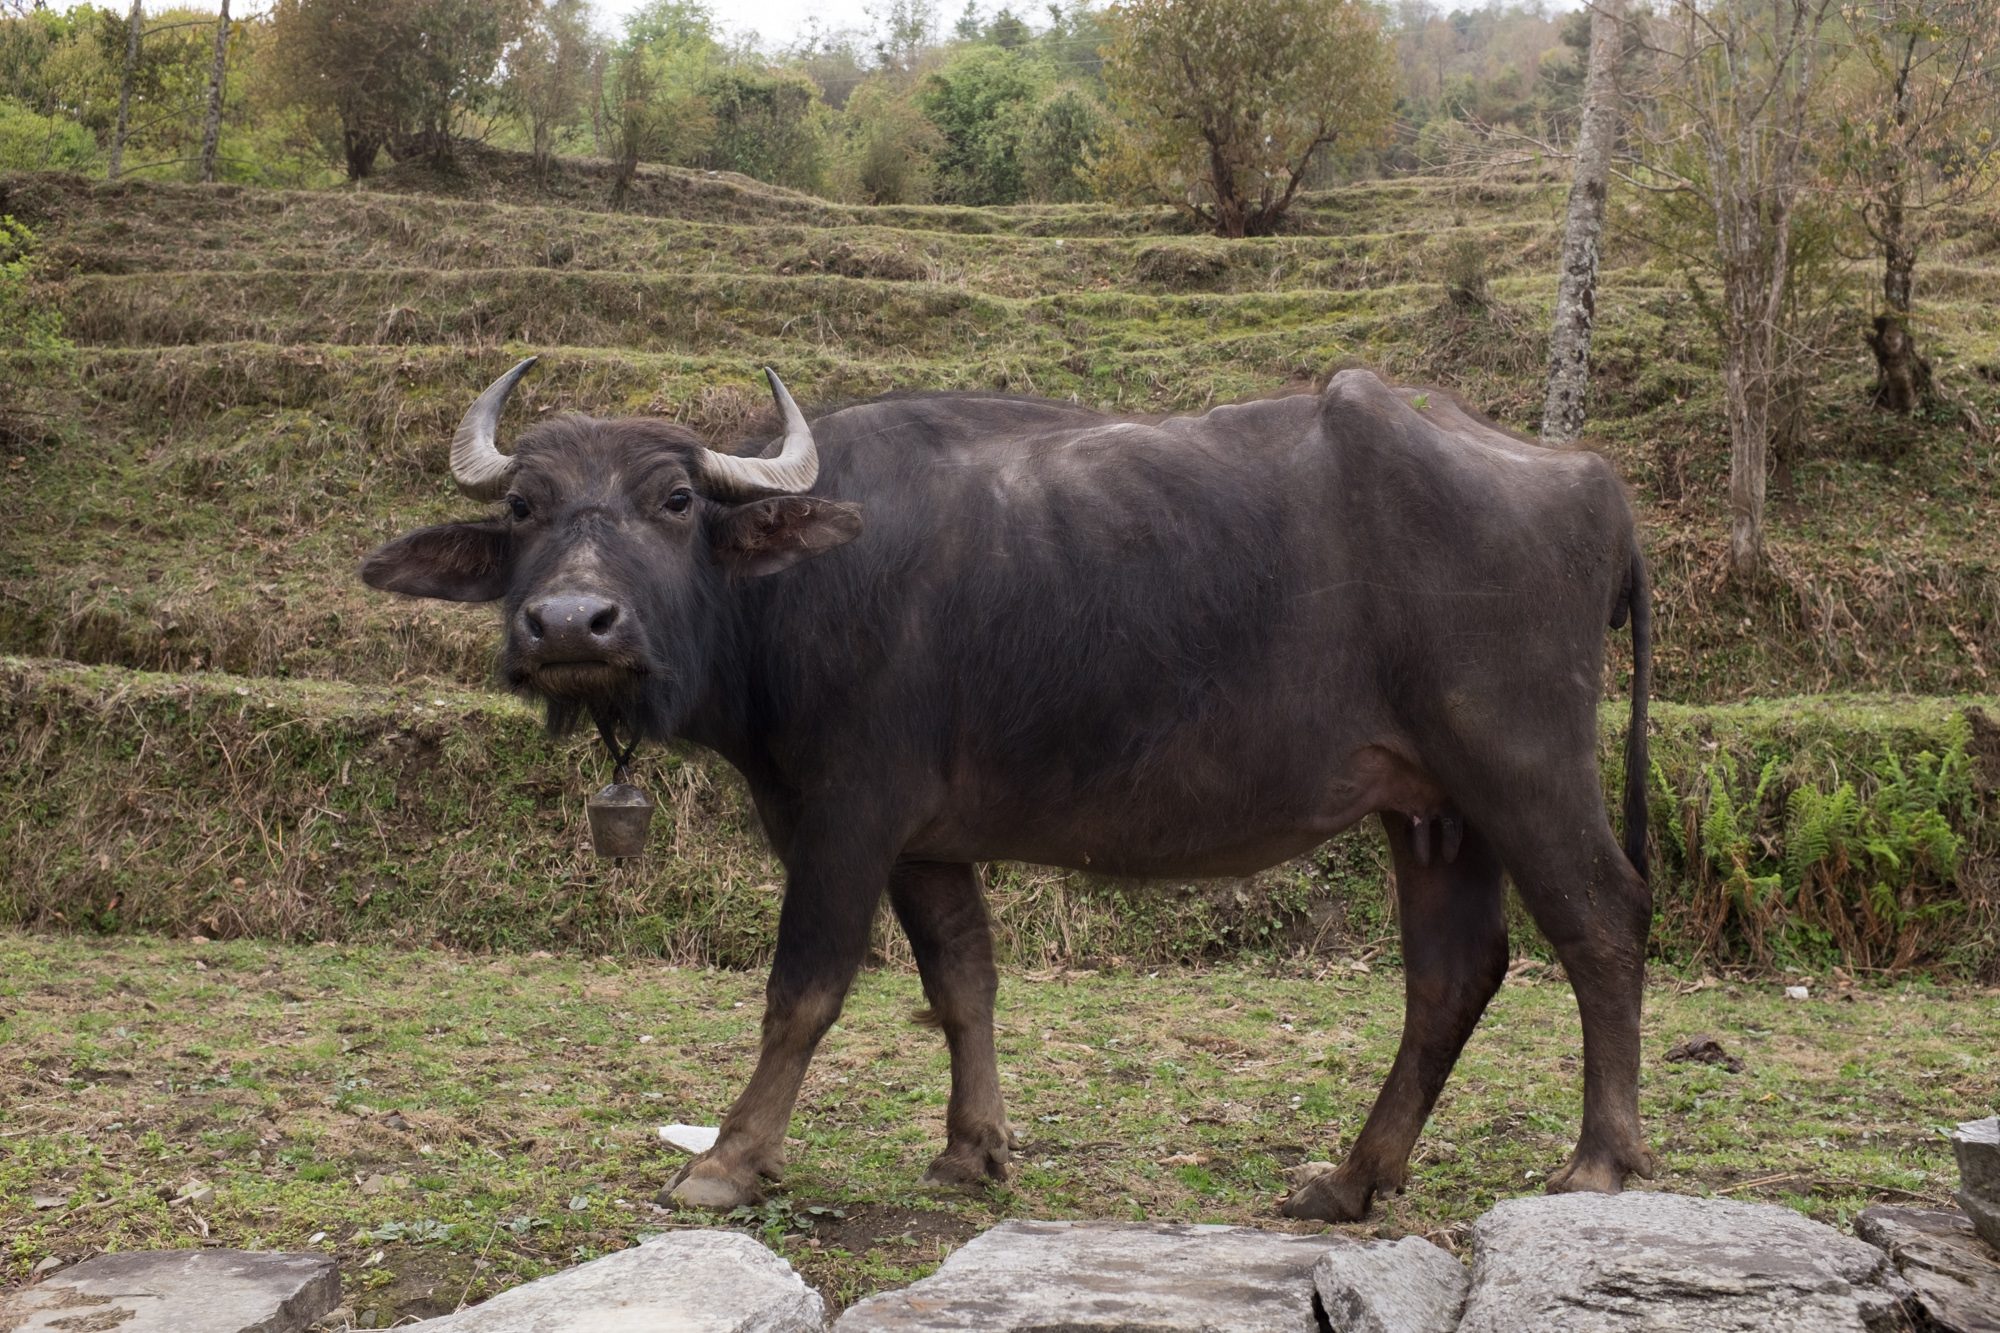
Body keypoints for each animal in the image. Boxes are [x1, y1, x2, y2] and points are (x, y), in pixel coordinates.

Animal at [360, 358, 1656, 1216]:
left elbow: (804, 989)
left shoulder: (844, 815)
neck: (786, 592)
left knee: (1601, 924)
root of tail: (1586, 477)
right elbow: (963, 981)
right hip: (1432, 807)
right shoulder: (929, 839)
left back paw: (1597, 1159)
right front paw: (970, 1147)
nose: (571, 623)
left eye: (673, 502)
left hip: (1520, 762)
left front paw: (727, 1158)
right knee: (1452, 973)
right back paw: (1348, 1179)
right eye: (522, 507)